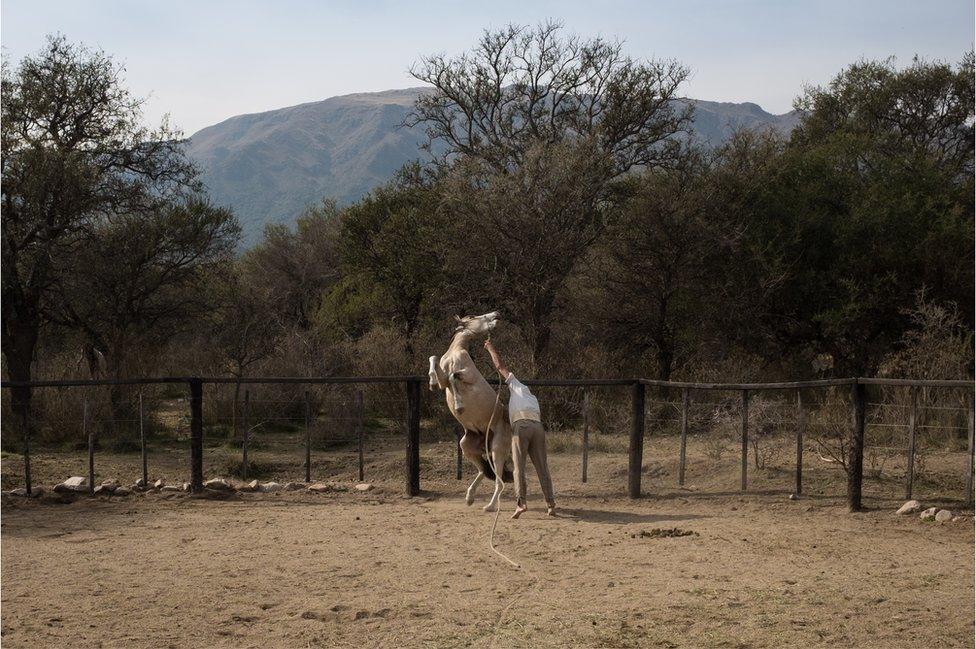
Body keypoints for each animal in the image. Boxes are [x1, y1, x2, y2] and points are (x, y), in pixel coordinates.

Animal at [430, 310, 516, 512]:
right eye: (479, 316)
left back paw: (490, 506)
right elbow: (434, 360)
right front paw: (431, 382)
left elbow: (453, 376)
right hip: (467, 447)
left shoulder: (466, 376)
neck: (455, 352)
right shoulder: (443, 381)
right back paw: (469, 497)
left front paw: (459, 406)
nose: (497, 314)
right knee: (483, 470)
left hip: (497, 450)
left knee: (498, 481)